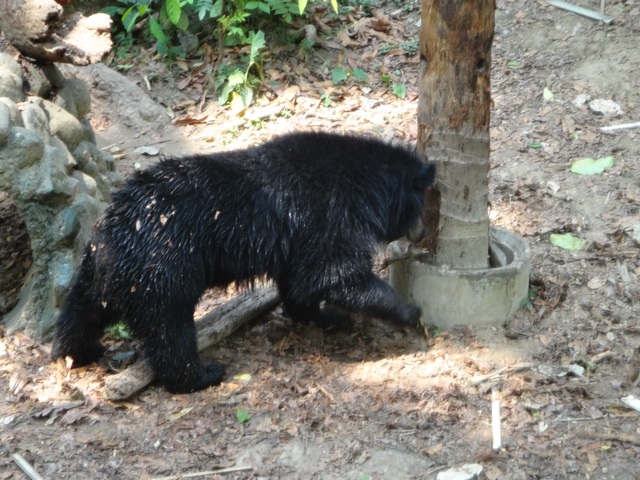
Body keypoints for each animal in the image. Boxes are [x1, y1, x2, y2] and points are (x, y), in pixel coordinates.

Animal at [52, 129, 438, 392]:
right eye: (420, 205)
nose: (422, 234)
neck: (368, 185)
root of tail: (112, 231)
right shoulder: (331, 213)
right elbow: (333, 272)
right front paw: (408, 312)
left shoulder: (300, 237)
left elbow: (301, 284)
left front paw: (326, 316)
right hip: (164, 267)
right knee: (169, 328)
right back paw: (201, 375)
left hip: (100, 271)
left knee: (81, 310)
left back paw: (77, 351)